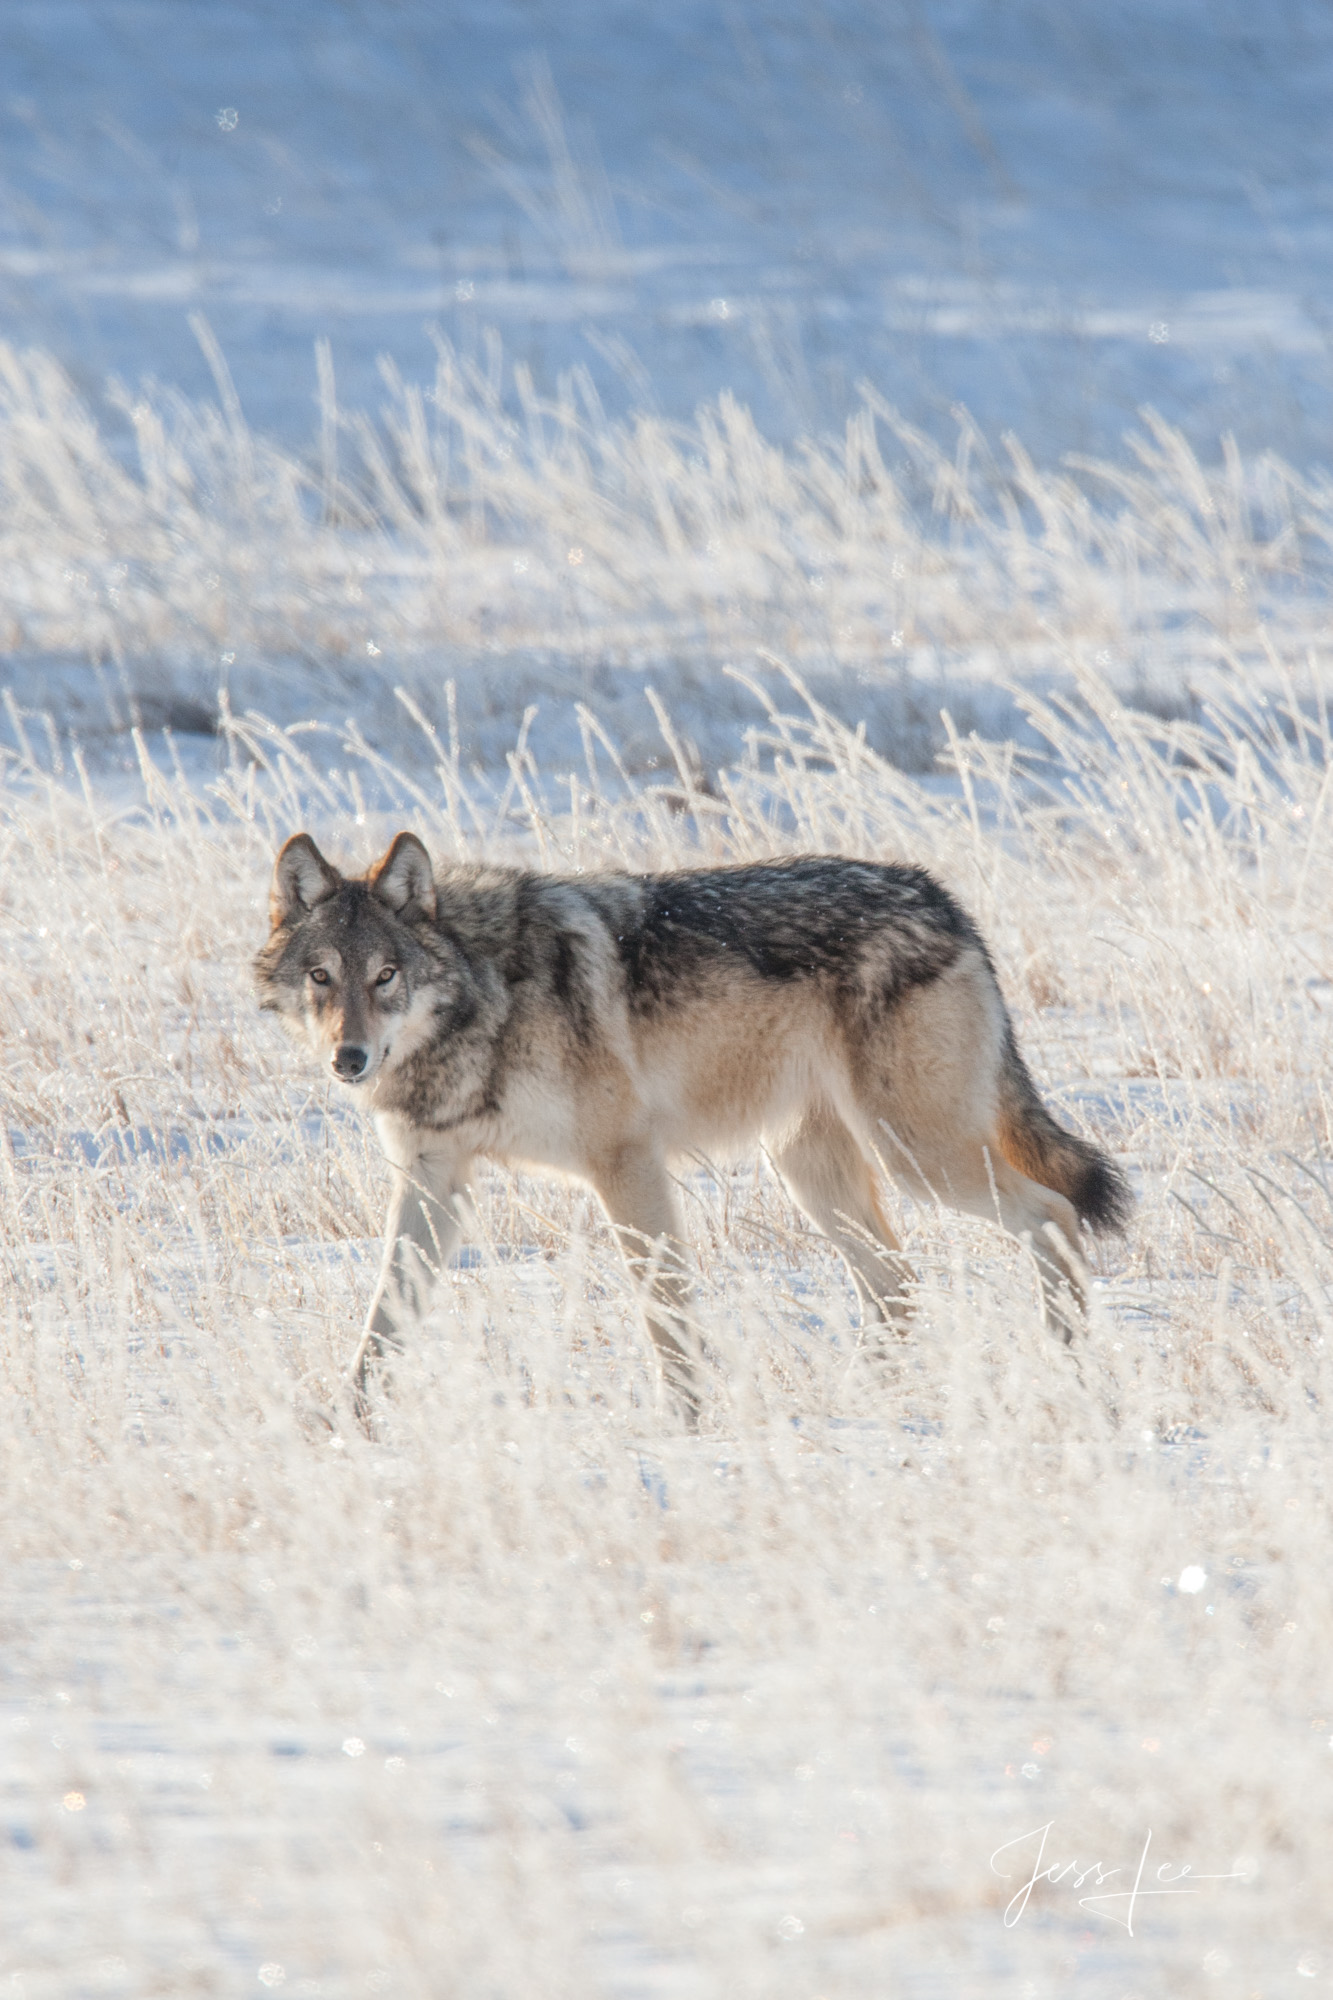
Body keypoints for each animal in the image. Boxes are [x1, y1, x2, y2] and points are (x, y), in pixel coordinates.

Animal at [254, 836, 1128, 1416]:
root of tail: (940, 898)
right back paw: (863, 1399)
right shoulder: (433, 1182)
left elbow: (663, 1309)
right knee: (899, 1285)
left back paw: (1070, 1368)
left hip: (917, 1157)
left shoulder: (625, 1162)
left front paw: (686, 1421)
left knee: (1050, 1215)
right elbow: (382, 1318)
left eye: (385, 976)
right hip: (815, 1174)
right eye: (321, 977)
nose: (349, 1059)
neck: (485, 1001)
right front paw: (347, 1421)